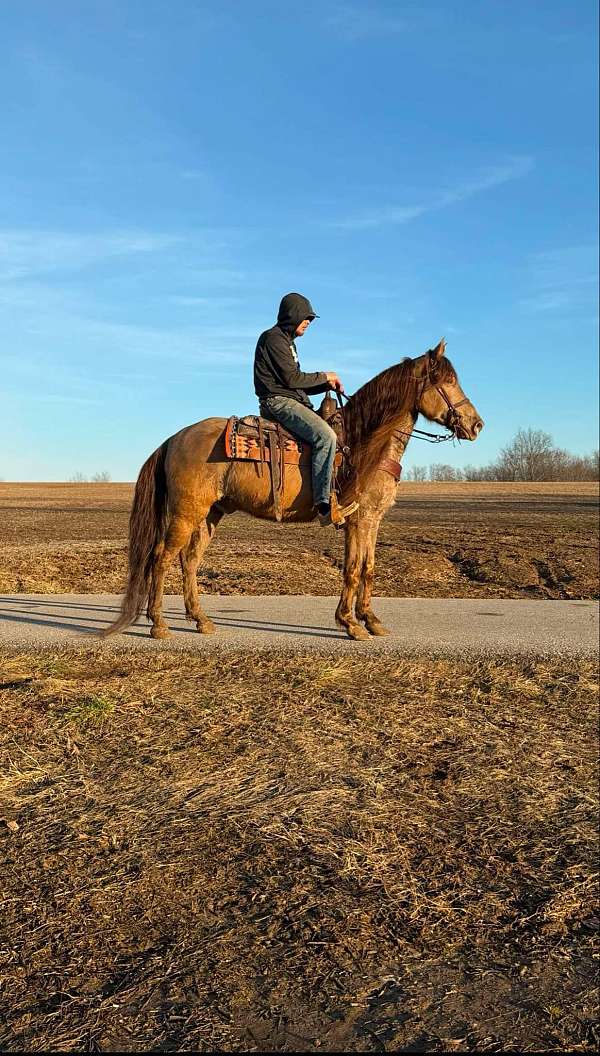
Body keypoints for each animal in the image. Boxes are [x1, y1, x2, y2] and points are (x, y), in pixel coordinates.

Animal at [102, 337, 485, 637]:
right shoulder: (359, 520)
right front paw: (350, 623)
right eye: (448, 381)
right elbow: (352, 569)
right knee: (162, 557)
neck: (365, 442)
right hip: (186, 512)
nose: (477, 425)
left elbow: (368, 568)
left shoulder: (372, 520)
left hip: (210, 513)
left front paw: (370, 620)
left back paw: (201, 620)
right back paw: (159, 624)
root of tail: (174, 438)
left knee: (190, 560)